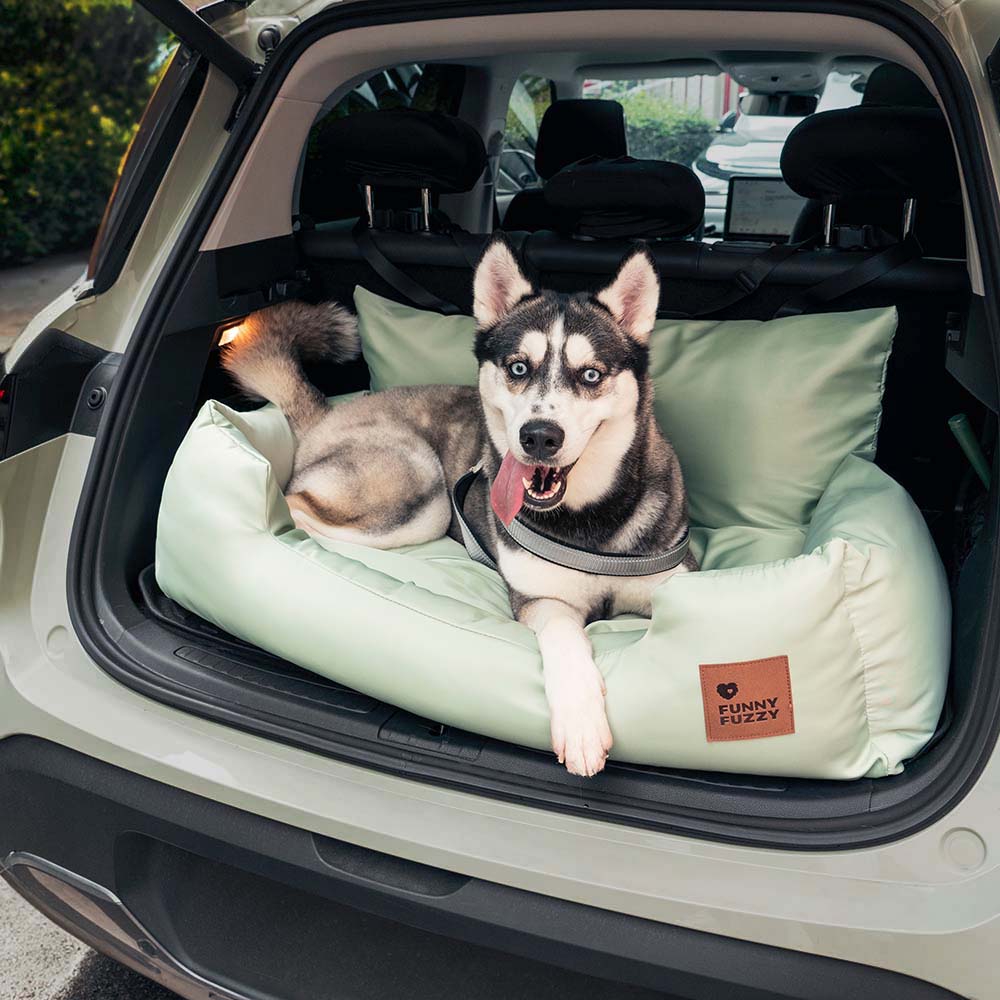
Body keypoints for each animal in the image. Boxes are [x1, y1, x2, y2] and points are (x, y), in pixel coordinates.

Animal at [225, 238, 696, 776]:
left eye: (591, 374)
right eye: (518, 367)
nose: (539, 436)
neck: (589, 523)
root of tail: (330, 412)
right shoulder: (540, 599)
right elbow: (565, 638)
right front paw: (580, 723)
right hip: (421, 488)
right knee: (297, 501)